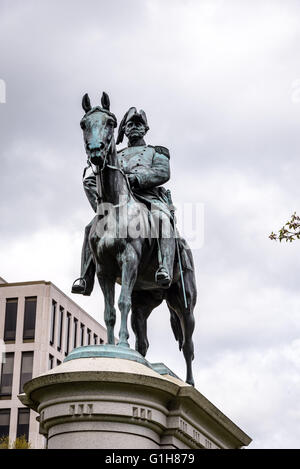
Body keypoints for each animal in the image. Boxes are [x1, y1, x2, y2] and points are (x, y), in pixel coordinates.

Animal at [80, 91, 197, 384]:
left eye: (110, 122)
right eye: (83, 124)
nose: (96, 152)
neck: (114, 206)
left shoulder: (129, 259)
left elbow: (121, 302)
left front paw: (121, 346)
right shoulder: (104, 270)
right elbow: (110, 312)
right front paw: (112, 348)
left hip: (184, 304)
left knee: (188, 346)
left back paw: (190, 384)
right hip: (144, 302)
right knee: (142, 340)